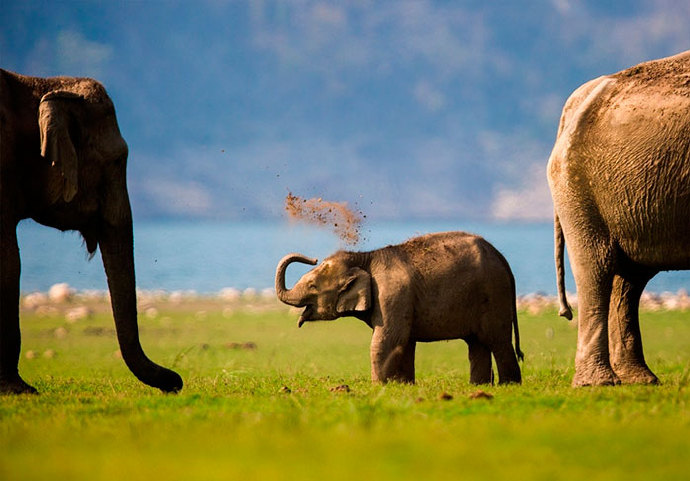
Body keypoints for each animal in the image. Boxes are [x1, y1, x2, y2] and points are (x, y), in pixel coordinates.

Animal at [275, 231, 524, 384]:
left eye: (312, 285)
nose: (313, 258)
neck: (365, 257)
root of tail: (502, 259)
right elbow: (404, 341)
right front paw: (403, 385)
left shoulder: (392, 294)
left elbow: (387, 339)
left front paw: (379, 387)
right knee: (477, 344)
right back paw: (479, 386)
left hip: (494, 296)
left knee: (498, 341)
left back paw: (508, 386)